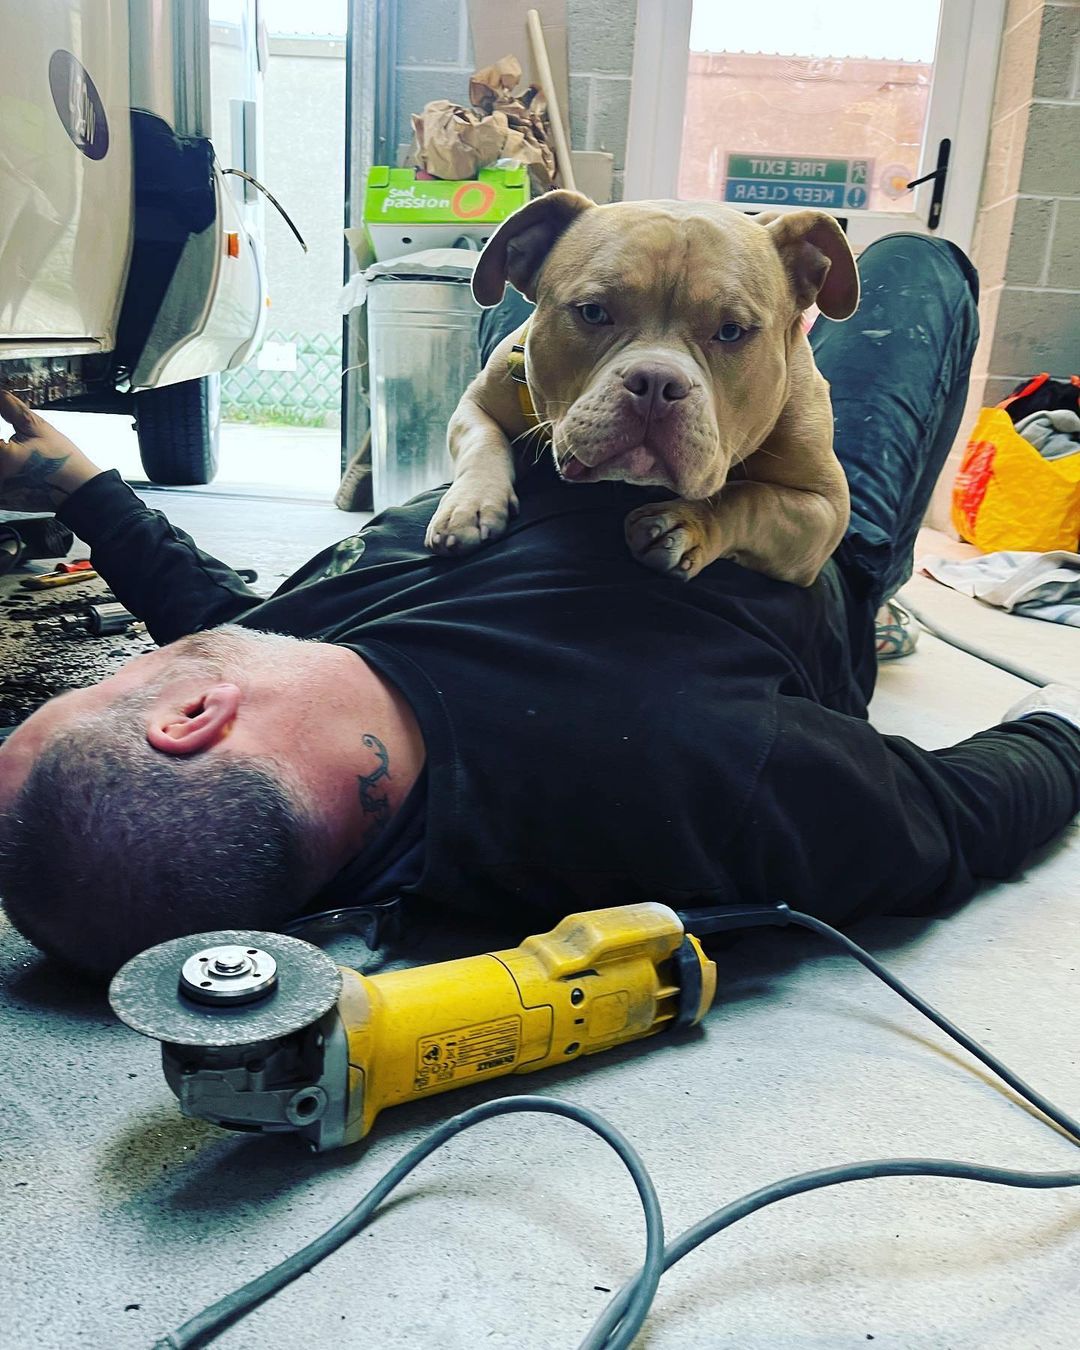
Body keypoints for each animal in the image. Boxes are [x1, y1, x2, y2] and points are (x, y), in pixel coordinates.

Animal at [426, 191, 858, 585]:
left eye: (731, 331)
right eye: (592, 312)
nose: (656, 382)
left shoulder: (825, 511)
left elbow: (750, 498)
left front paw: (683, 524)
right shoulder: (475, 405)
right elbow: (483, 441)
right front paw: (471, 504)